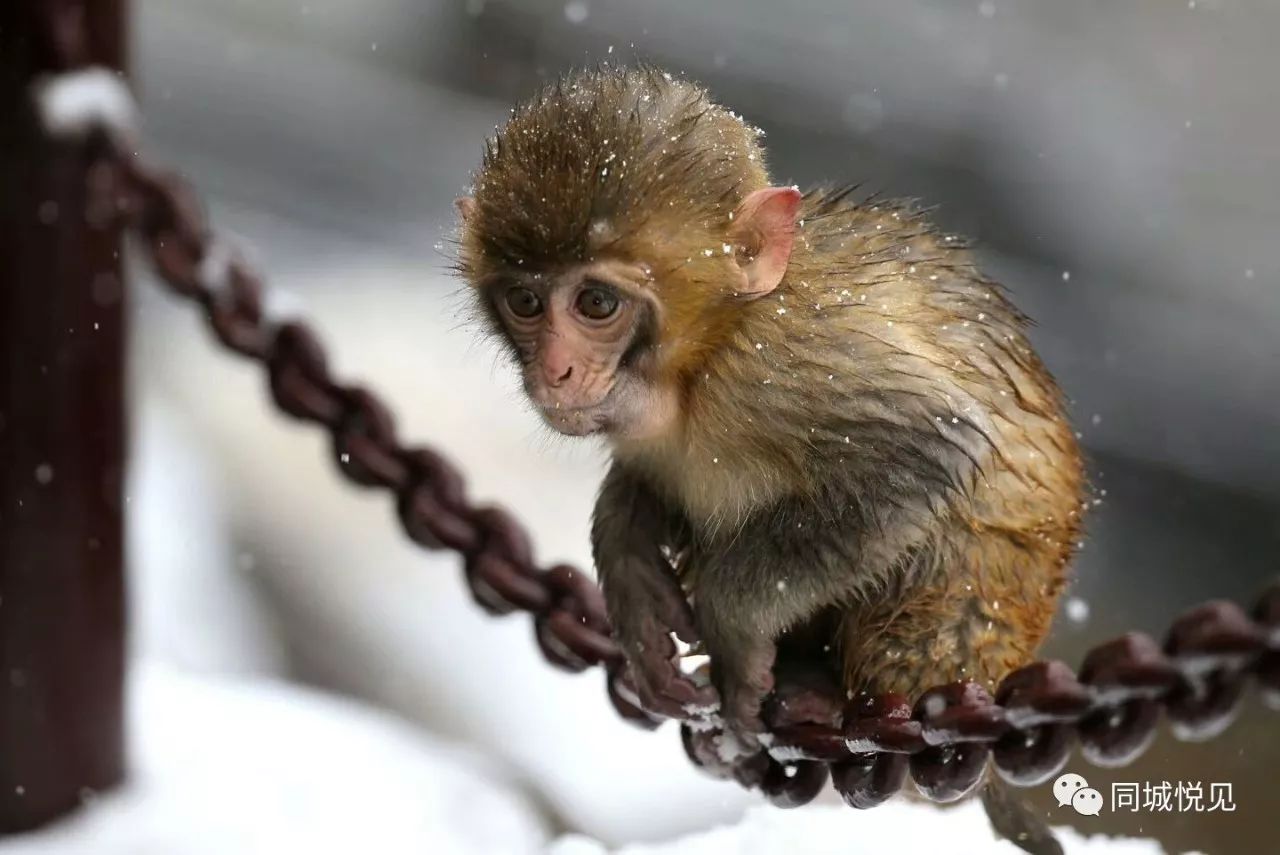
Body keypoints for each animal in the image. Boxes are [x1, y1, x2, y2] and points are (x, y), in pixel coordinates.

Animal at [458, 68, 1080, 839]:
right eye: (525, 302)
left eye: (596, 303)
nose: (555, 373)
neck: (697, 362)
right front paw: (629, 564)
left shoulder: (779, 366)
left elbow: (926, 448)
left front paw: (731, 617)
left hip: (955, 648)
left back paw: (817, 695)